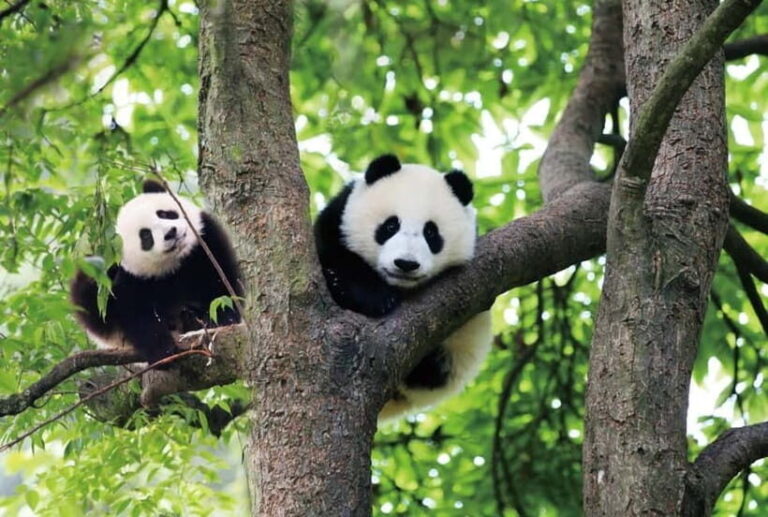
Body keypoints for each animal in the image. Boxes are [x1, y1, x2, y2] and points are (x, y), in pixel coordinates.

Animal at [70, 179, 242, 365]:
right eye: (146, 236)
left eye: (164, 214)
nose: (170, 233)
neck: (175, 264)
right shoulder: (130, 279)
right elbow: (136, 315)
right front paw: (163, 351)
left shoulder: (205, 243)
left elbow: (221, 283)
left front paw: (223, 318)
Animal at [315, 154, 492, 420]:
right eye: (390, 226)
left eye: (431, 233)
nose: (406, 264)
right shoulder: (337, 219)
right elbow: (332, 251)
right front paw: (370, 295)